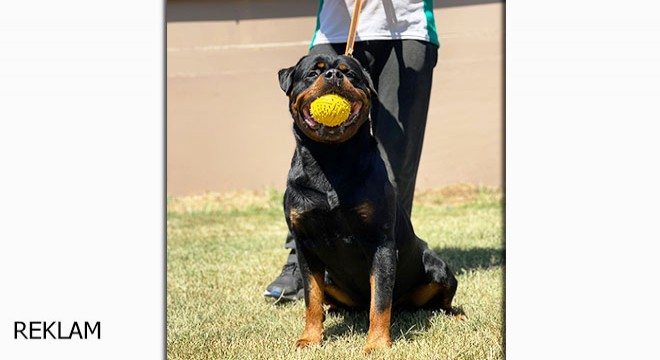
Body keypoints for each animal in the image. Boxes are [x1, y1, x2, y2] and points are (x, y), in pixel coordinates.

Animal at [278, 54, 458, 354]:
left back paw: (457, 315)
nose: (332, 76)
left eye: (350, 74)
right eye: (312, 73)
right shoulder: (305, 245)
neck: (330, 158)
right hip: (331, 277)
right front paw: (310, 338)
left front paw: (377, 343)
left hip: (437, 266)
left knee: (438, 300)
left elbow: (381, 300)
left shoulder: (380, 243)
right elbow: (311, 298)